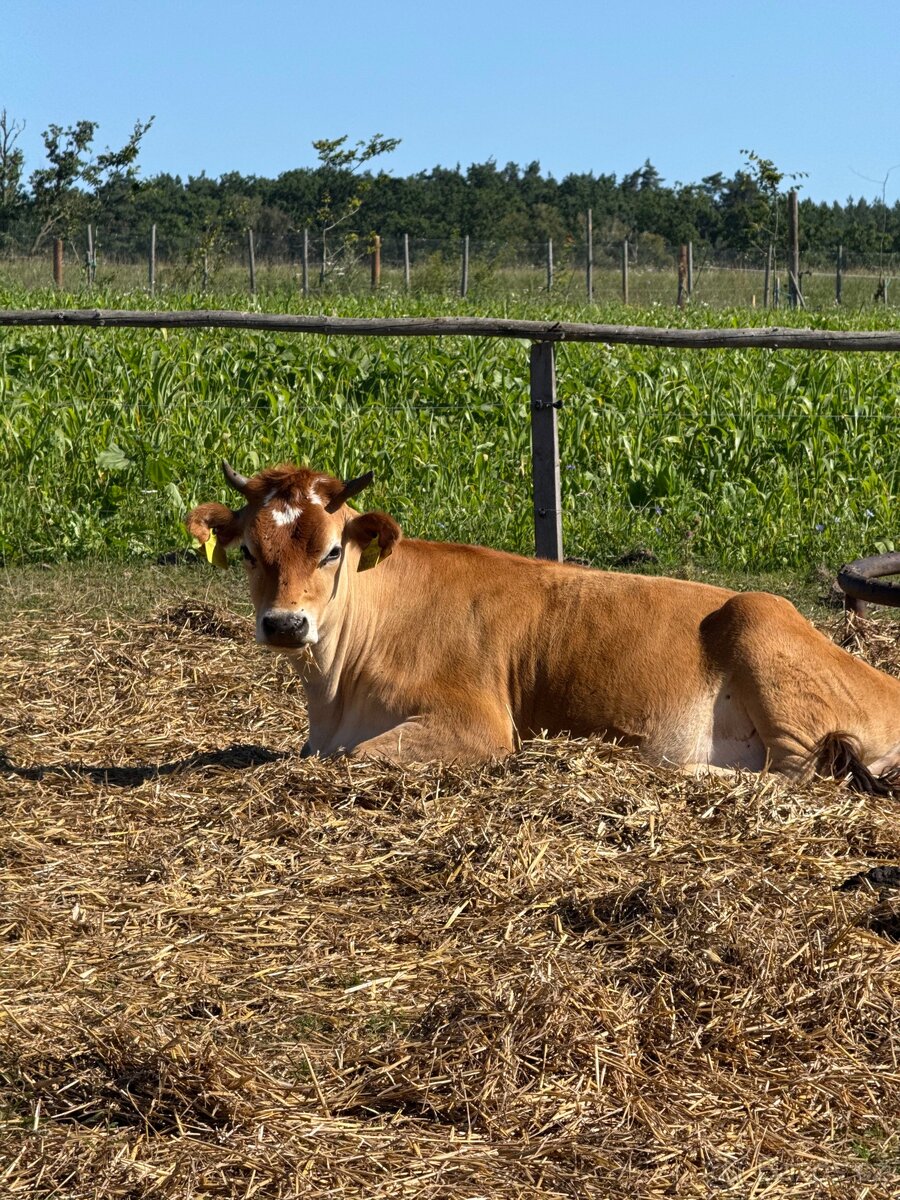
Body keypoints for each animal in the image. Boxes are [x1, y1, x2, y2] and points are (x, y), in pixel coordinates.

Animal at [185, 461, 900, 791]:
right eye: (248, 552)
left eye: (333, 551)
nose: (284, 624)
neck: (334, 691)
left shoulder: (478, 725)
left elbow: (357, 757)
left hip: (761, 627)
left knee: (796, 775)